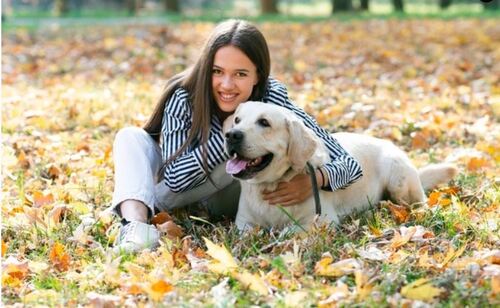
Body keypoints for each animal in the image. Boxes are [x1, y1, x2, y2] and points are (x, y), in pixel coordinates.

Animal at [223, 101, 458, 231]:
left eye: (264, 122)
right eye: (237, 120)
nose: (231, 135)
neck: (270, 184)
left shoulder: (321, 221)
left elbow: (286, 232)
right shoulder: (243, 223)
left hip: (399, 182)